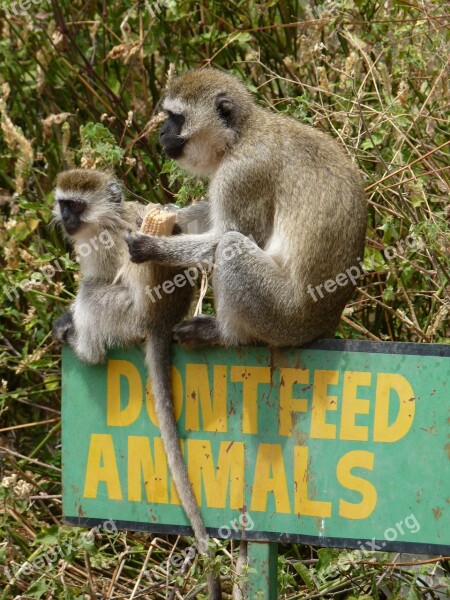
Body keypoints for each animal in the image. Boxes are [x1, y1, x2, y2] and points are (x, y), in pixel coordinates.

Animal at [125, 69, 366, 352]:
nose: (162, 132)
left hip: (280, 317)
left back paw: (223, 333)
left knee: (232, 246)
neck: (239, 136)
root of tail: (321, 326)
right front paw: (160, 215)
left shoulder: (241, 174)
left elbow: (234, 235)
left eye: (177, 118)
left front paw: (151, 246)